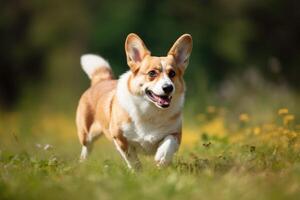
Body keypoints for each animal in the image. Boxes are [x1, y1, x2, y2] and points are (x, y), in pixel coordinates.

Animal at [77, 33, 192, 170]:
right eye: (152, 73)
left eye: (172, 73)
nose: (168, 87)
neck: (151, 110)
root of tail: (102, 80)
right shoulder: (120, 138)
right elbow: (132, 159)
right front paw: (138, 172)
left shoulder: (176, 133)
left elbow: (169, 143)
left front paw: (162, 158)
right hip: (87, 134)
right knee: (86, 148)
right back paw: (82, 164)